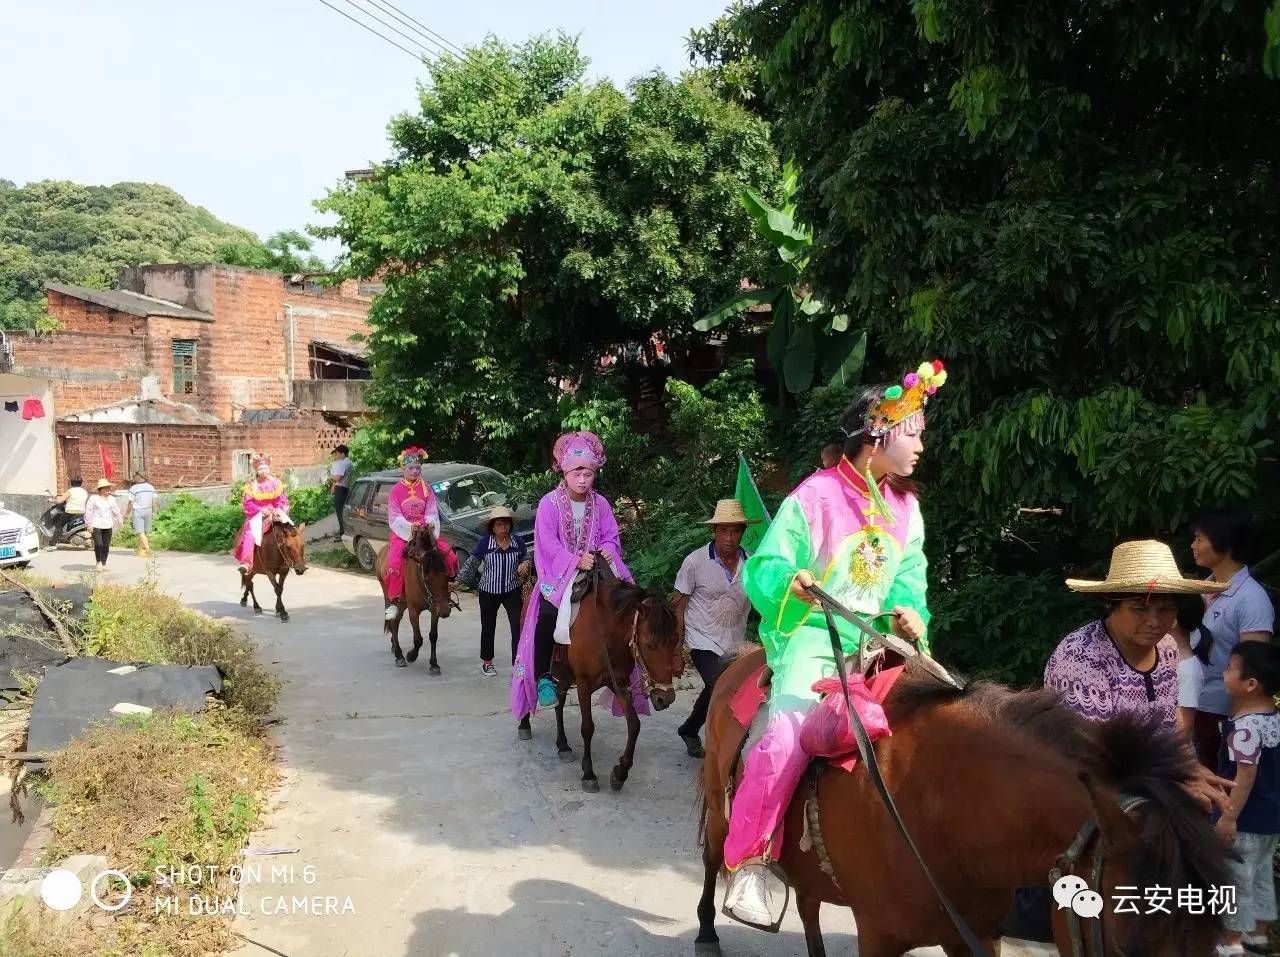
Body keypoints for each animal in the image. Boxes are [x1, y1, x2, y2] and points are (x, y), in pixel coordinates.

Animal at [373, 524, 455, 670]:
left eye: (447, 576)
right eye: (426, 579)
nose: (445, 611)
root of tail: (382, 551)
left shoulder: (435, 608)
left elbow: (433, 636)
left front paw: (434, 664)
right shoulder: (414, 611)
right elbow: (418, 639)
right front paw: (411, 655)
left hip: (402, 602)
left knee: (397, 620)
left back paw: (394, 647)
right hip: (389, 595)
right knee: (393, 621)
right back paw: (399, 655)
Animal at [514, 560, 686, 793]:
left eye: (676, 640)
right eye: (650, 644)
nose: (664, 698)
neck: (605, 630)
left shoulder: (618, 682)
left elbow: (634, 724)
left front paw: (620, 772)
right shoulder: (584, 684)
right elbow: (587, 727)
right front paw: (589, 773)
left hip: (564, 672)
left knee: (560, 702)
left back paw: (563, 745)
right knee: (525, 684)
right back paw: (524, 724)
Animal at [701, 649, 1228, 957]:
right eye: (1126, 946)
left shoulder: (975, 933)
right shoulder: (878, 936)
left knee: (809, 899)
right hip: (718, 805)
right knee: (712, 858)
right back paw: (709, 930)